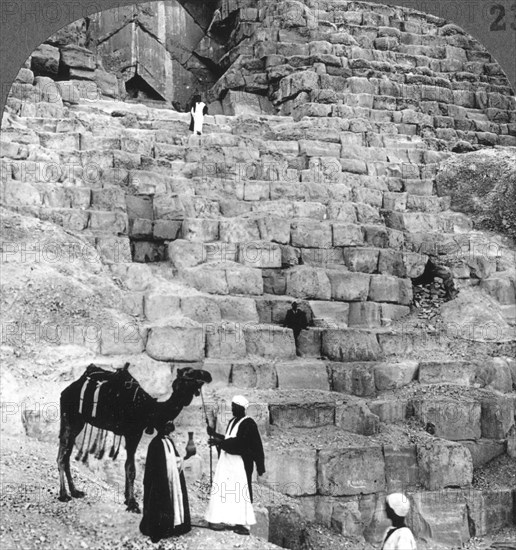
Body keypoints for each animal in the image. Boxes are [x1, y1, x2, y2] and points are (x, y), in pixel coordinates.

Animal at [59, 364, 213, 516]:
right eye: (192, 373)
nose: (208, 375)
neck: (150, 410)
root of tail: (66, 390)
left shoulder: (132, 434)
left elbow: (127, 465)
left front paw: (127, 499)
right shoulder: (133, 433)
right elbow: (131, 468)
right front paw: (132, 503)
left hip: (78, 423)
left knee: (66, 455)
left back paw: (75, 491)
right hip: (69, 417)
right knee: (62, 456)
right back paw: (64, 495)